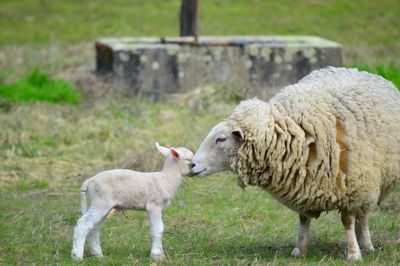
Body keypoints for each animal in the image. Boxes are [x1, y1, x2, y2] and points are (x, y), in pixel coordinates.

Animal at [191, 66, 400, 260]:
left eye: (220, 139)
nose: (192, 164)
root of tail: (355, 69)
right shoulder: (303, 184)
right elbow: (303, 219)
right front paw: (300, 249)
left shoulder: (350, 187)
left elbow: (347, 221)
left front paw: (353, 253)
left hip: (370, 181)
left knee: (363, 216)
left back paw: (366, 244)